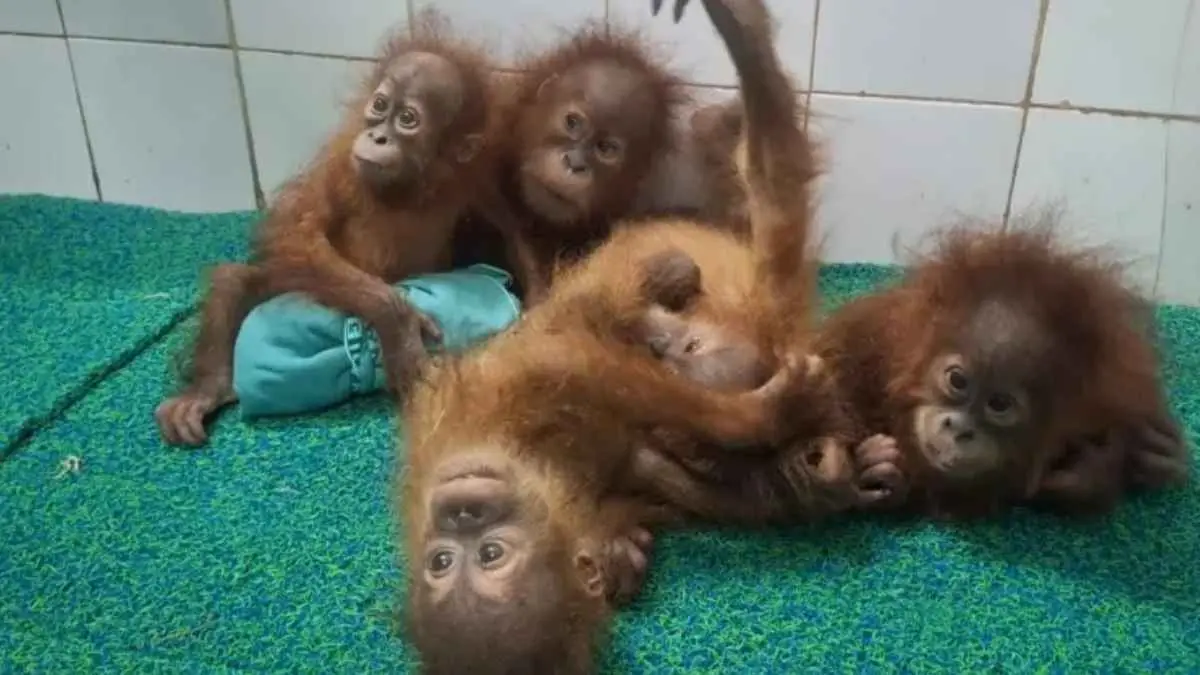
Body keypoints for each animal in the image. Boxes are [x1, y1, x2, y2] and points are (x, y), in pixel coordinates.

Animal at [155, 14, 499, 446]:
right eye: (380, 106)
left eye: (408, 119)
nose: (377, 136)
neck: (406, 189)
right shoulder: (341, 163)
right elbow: (296, 232)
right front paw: (398, 324)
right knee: (234, 282)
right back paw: (207, 389)